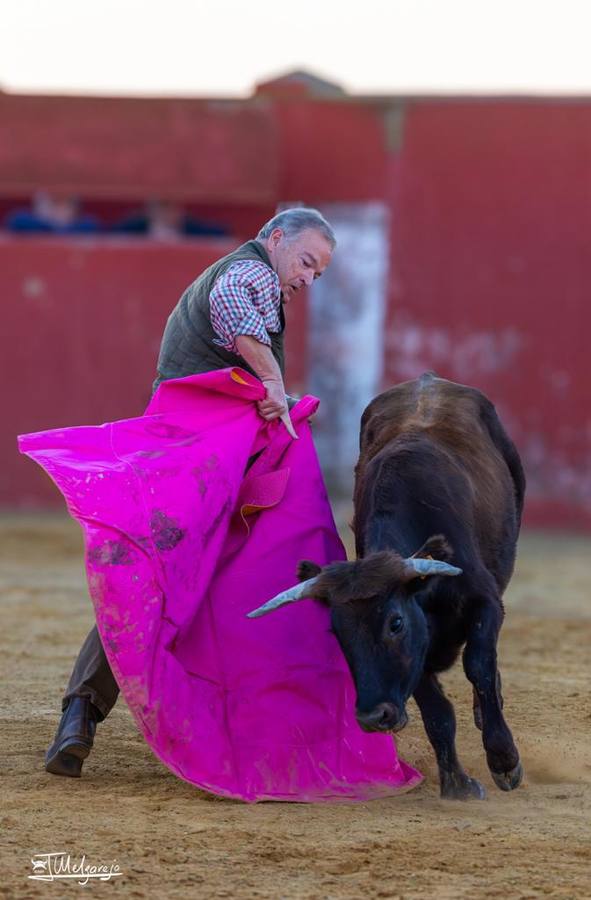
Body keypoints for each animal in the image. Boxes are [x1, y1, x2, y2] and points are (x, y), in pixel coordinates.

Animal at [247, 372, 524, 800]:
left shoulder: (485, 601)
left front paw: (504, 760)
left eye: (395, 623)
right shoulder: (420, 646)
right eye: (337, 633)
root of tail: (428, 379)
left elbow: (478, 663)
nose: (373, 716)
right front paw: (457, 784)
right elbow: (436, 710)